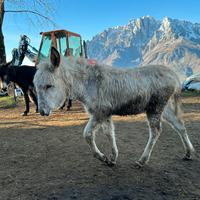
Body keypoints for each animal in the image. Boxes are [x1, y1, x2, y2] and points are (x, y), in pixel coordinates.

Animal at [33, 47, 195, 168]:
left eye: (49, 86)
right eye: (36, 86)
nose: (42, 112)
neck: (87, 83)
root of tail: (172, 74)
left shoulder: (99, 112)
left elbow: (87, 135)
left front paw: (102, 157)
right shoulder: (105, 114)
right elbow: (109, 134)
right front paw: (112, 158)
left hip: (155, 108)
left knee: (156, 131)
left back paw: (142, 160)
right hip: (163, 109)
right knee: (179, 126)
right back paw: (188, 153)